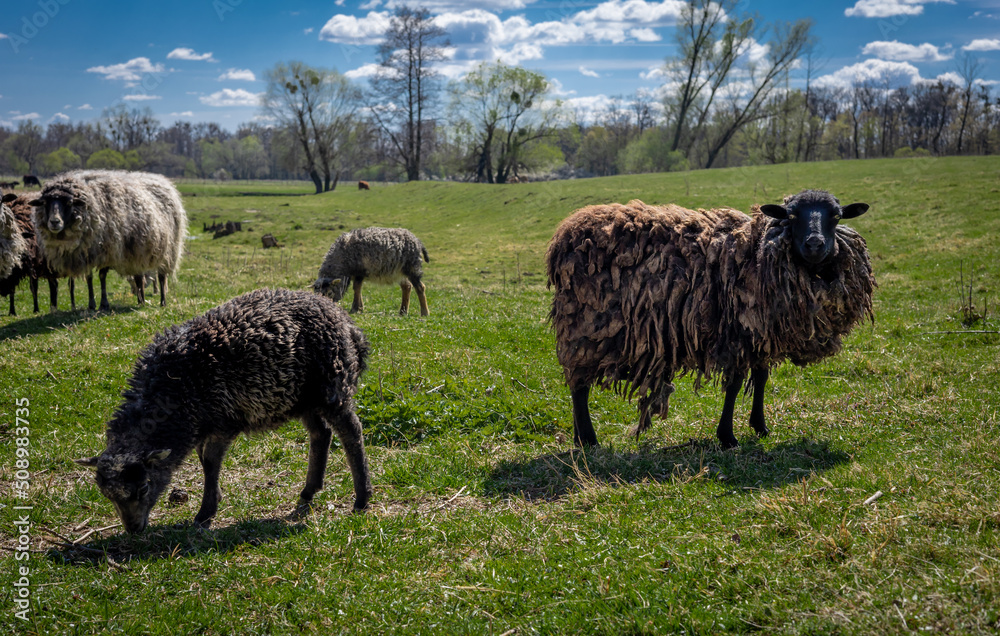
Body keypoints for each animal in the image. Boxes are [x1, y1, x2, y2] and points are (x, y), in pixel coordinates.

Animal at [30, 170, 188, 311]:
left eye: (69, 203)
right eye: (44, 203)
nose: (54, 222)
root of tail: (164, 182)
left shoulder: (107, 250)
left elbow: (102, 276)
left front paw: (104, 304)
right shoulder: (87, 252)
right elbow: (89, 278)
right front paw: (91, 305)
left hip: (168, 250)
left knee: (161, 276)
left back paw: (162, 302)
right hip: (138, 252)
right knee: (138, 277)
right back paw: (141, 301)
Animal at [75, 287, 373, 533]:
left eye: (145, 486)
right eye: (107, 495)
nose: (134, 530)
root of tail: (349, 325)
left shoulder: (223, 420)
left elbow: (210, 462)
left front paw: (205, 514)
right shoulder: (201, 425)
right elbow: (205, 461)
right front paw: (211, 504)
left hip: (332, 384)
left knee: (351, 432)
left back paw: (362, 499)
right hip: (301, 397)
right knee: (321, 434)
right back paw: (308, 494)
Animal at [546, 189, 875, 449]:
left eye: (836, 216)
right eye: (792, 216)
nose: (815, 244)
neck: (757, 252)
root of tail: (563, 234)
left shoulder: (760, 332)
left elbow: (761, 378)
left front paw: (760, 426)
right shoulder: (736, 334)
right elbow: (734, 385)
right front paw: (727, 437)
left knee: (577, 383)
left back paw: (579, 436)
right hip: (585, 326)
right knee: (579, 386)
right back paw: (588, 440)